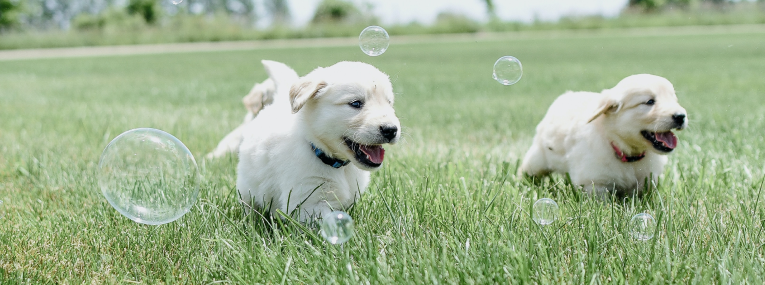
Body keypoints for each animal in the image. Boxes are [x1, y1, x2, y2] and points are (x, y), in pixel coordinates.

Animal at [520, 74, 688, 196]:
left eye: (674, 100)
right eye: (649, 102)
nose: (681, 116)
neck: (627, 153)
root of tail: (566, 96)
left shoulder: (646, 181)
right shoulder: (595, 183)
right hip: (538, 158)